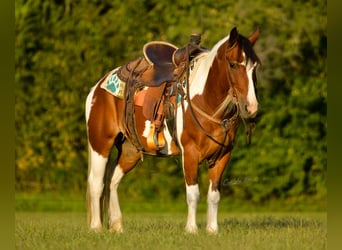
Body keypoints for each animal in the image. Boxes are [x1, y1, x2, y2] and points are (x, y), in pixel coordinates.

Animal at [85, 27, 260, 234]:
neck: (206, 100)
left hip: (130, 151)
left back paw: (117, 226)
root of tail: (97, 88)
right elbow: (193, 194)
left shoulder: (223, 155)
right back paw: (96, 227)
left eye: (255, 66)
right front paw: (191, 229)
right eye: (233, 64)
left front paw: (212, 230)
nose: (251, 107)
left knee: (112, 181)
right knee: (97, 183)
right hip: (100, 144)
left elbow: (214, 195)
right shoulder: (190, 153)